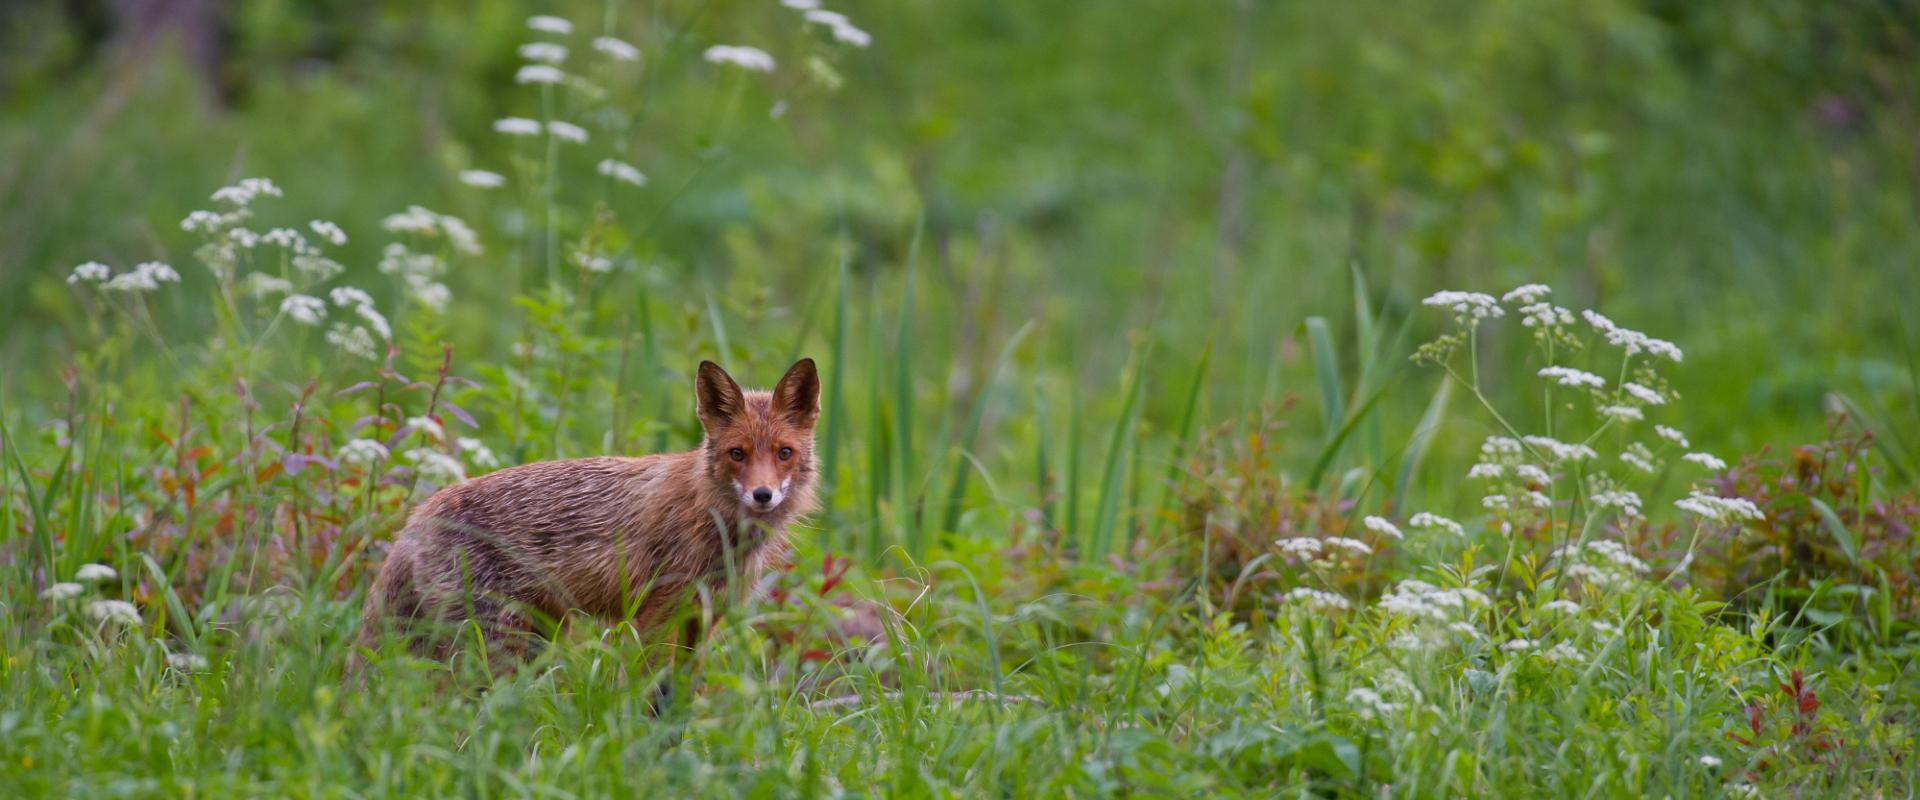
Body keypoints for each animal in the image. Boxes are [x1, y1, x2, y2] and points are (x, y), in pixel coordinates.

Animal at [357, 354, 821, 667]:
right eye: (737, 454)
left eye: (783, 453)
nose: (762, 495)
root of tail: (418, 514)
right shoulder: (656, 614)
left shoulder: (702, 621)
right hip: (494, 643)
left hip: (535, 636)